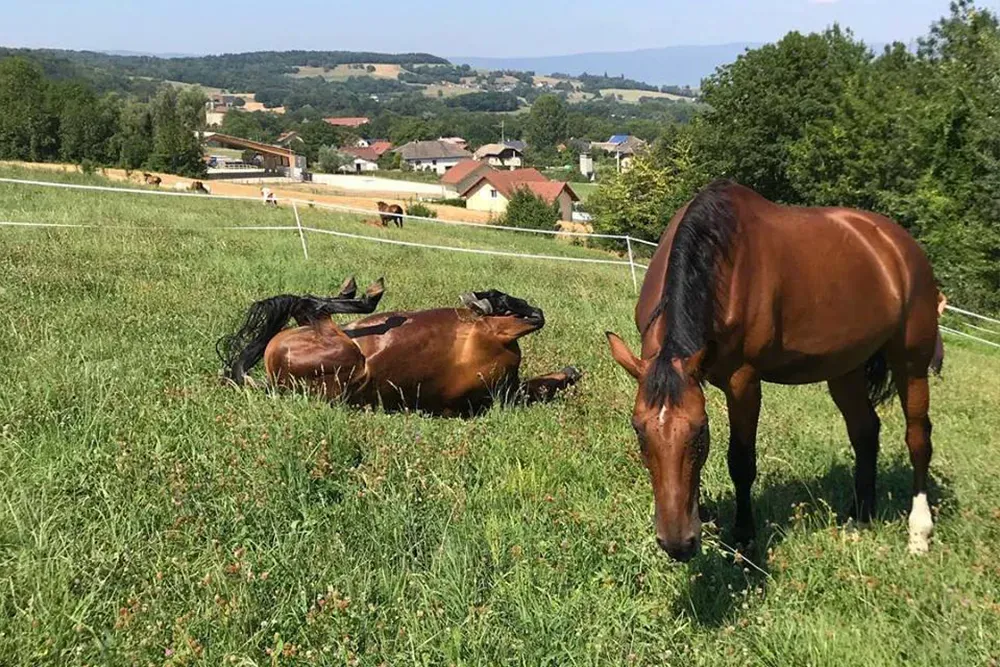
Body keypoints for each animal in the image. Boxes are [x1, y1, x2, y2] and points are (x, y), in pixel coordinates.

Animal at [217, 281, 581, 417]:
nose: (574, 371)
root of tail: (275, 382)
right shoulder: (497, 333)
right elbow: (534, 315)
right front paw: (488, 298)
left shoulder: (497, 334)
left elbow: (536, 316)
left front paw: (488, 299)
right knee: (308, 306)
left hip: (348, 355)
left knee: (311, 307)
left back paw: (362, 296)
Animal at [605, 179, 940, 561]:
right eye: (639, 432)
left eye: (700, 432)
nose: (677, 545)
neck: (721, 257)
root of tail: (899, 245)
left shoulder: (743, 382)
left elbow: (741, 461)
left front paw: (744, 536)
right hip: (845, 369)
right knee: (865, 431)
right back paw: (860, 517)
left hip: (911, 363)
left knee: (918, 438)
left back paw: (918, 534)